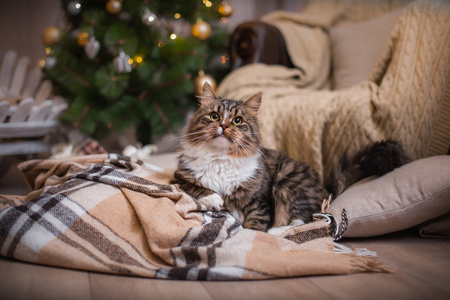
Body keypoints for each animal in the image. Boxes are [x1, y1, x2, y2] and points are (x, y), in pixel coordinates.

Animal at [174, 83, 410, 233]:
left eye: (238, 120)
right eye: (214, 116)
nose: (223, 126)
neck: (220, 158)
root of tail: (325, 189)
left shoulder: (260, 200)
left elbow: (256, 223)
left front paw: (250, 237)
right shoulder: (179, 176)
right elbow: (196, 186)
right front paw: (215, 199)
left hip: (286, 182)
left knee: (305, 219)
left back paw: (277, 232)